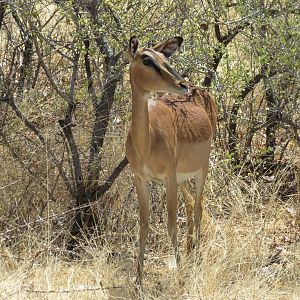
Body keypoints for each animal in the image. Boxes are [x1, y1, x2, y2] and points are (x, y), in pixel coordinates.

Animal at [125, 36, 217, 284]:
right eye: (147, 59)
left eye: (164, 58)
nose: (181, 84)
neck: (147, 143)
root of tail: (201, 92)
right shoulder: (141, 179)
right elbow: (144, 226)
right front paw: (138, 279)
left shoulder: (168, 178)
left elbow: (171, 224)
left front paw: (182, 274)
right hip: (183, 177)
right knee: (191, 204)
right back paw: (189, 249)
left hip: (200, 170)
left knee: (198, 207)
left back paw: (196, 255)